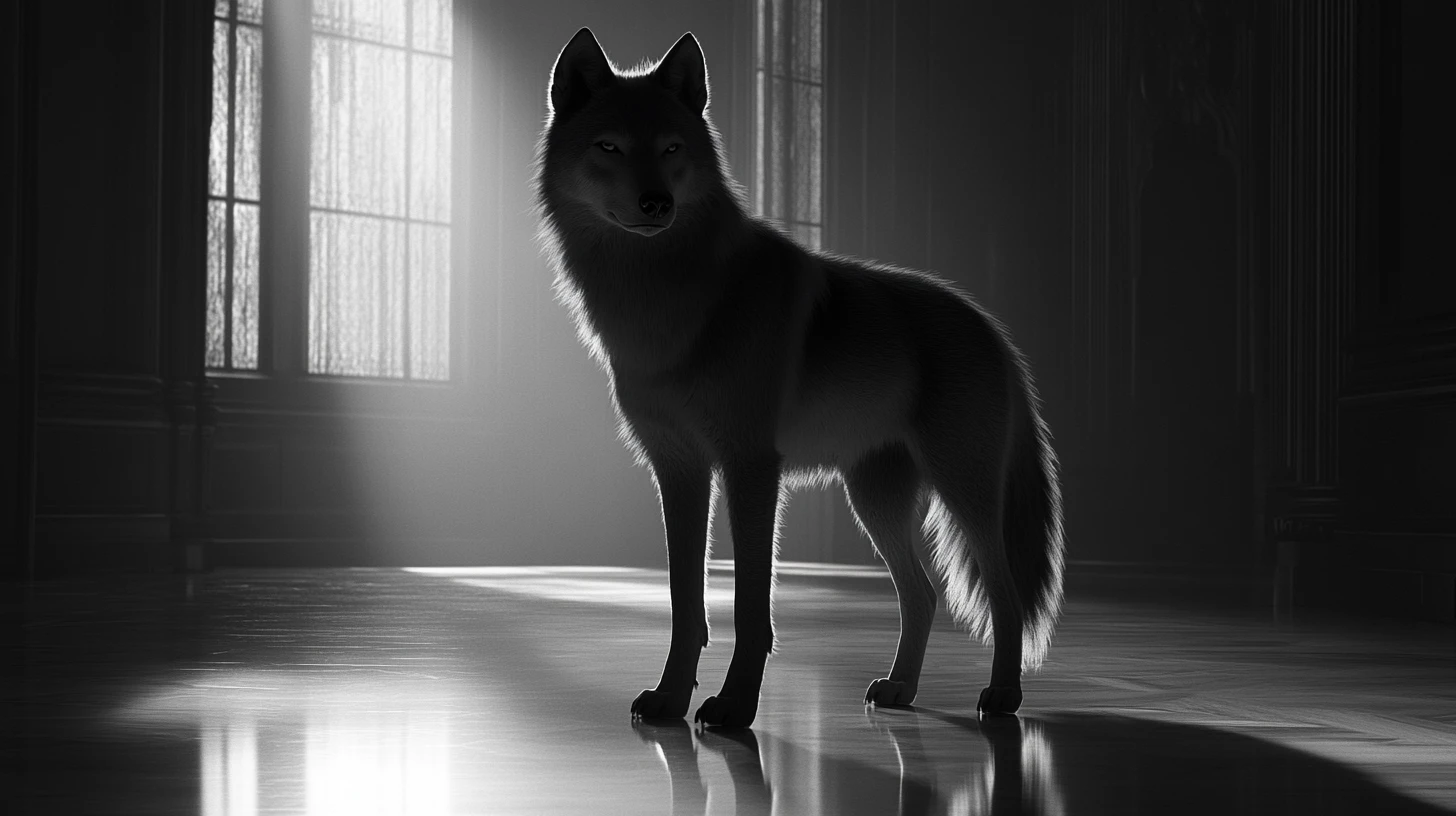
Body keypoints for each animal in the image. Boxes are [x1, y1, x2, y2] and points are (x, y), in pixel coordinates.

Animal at [536, 28, 1064, 727]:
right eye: (610, 146)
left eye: (672, 148)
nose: (657, 203)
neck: (665, 295)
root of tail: (993, 329)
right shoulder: (680, 471)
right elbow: (685, 603)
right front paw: (672, 698)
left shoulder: (750, 467)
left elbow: (750, 608)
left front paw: (734, 707)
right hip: (874, 502)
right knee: (922, 595)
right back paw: (899, 689)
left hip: (963, 495)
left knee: (1003, 595)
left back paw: (1002, 696)